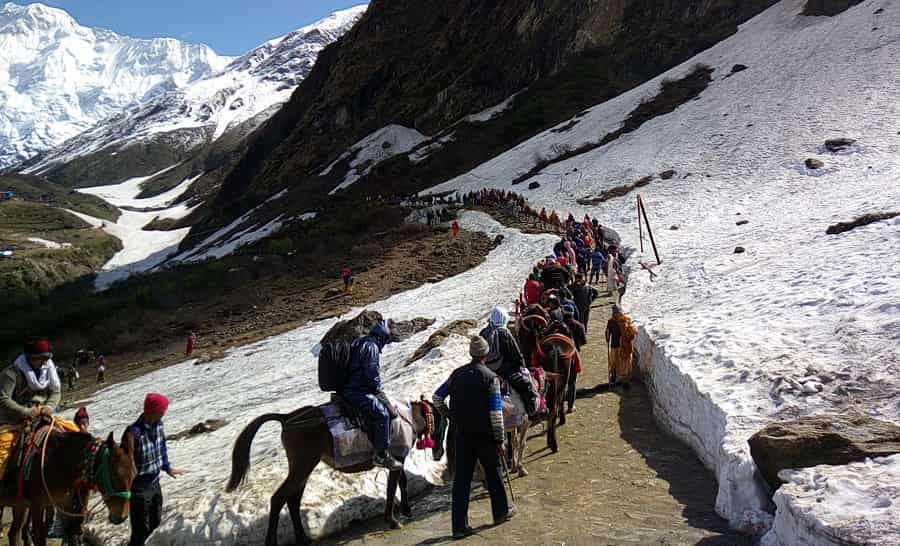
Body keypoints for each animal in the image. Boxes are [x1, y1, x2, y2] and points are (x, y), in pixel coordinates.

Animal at [0, 422, 138, 544]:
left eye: (133, 477)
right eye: (114, 476)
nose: (121, 517)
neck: (55, 462)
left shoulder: (64, 504)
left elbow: (72, 534)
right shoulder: (36, 506)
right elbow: (40, 538)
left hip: (20, 506)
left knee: (13, 534)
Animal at [227, 396, 434, 544]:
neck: (407, 416)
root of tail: (286, 418)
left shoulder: (398, 460)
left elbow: (402, 482)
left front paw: (406, 510)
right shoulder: (397, 458)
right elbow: (392, 489)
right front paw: (392, 520)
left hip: (303, 468)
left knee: (293, 500)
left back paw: (303, 538)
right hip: (303, 464)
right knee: (279, 498)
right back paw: (273, 541)